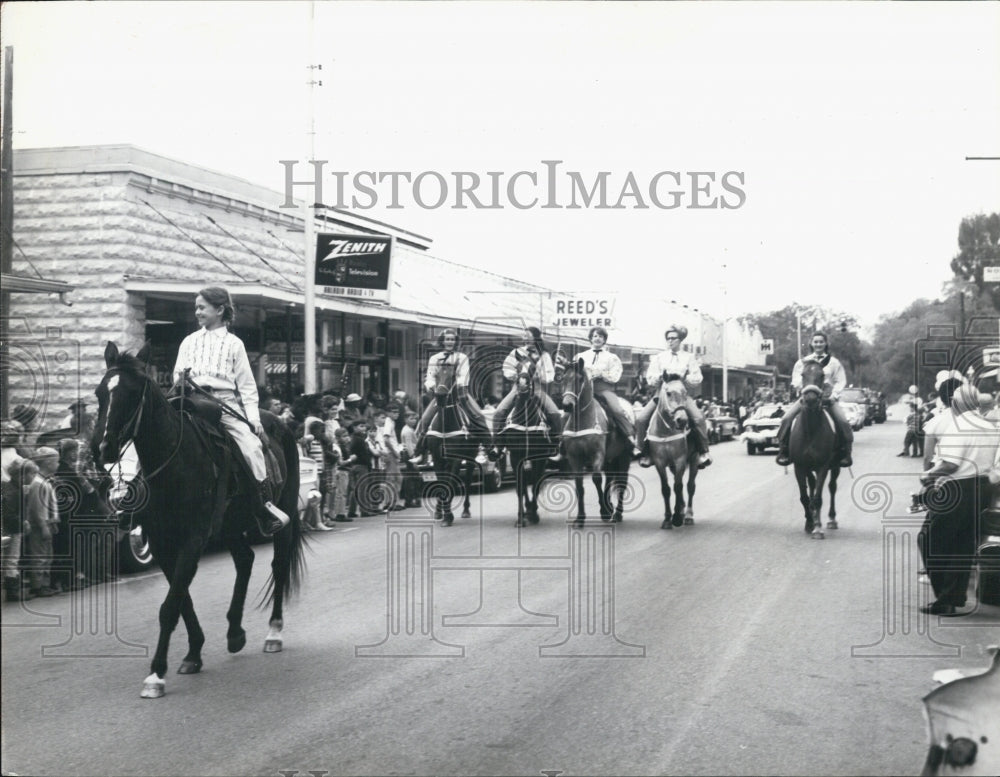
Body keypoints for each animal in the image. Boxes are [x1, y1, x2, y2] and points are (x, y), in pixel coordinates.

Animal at [93, 342, 304, 700]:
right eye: (99, 393)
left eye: (132, 394)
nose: (102, 448)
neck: (174, 461)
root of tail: (280, 420)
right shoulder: (164, 543)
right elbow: (181, 601)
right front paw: (193, 654)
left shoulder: (192, 539)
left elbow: (170, 605)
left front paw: (156, 674)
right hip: (230, 525)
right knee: (245, 560)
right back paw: (234, 632)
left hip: (283, 515)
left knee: (278, 565)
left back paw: (273, 633)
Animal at [494, 364, 560, 528]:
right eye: (517, 368)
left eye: (533, 368)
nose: (523, 386)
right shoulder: (515, 457)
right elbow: (520, 486)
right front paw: (521, 517)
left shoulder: (539, 458)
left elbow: (535, 483)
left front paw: (532, 513)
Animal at [560, 356, 628, 528]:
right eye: (562, 379)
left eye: (579, 379)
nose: (567, 405)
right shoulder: (574, 458)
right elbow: (579, 485)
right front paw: (580, 518)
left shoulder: (597, 454)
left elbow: (596, 478)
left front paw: (604, 512)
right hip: (610, 458)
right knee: (610, 478)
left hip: (624, 456)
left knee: (622, 482)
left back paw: (617, 513)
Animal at [644, 374, 700, 532]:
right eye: (668, 393)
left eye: (685, 393)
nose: (682, 420)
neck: (665, 431)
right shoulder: (659, 462)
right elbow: (666, 489)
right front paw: (667, 519)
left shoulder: (680, 460)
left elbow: (678, 487)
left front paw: (676, 518)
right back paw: (681, 510)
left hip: (694, 459)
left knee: (690, 486)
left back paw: (687, 515)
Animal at [788, 360, 844, 536]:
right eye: (802, 374)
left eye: (822, 375)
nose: (811, 399)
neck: (810, 430)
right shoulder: (800, 466)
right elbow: (805, 497)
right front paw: (809, 523)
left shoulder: (823, 466)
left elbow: (818, 497)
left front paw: (817, 528)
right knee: (812, 486)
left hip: (835, 466)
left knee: (832, 487)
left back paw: (831, 519)